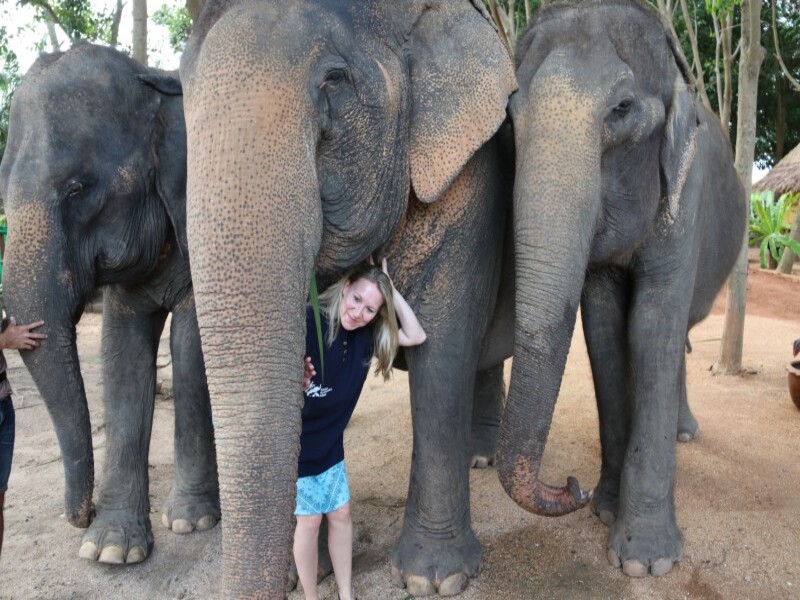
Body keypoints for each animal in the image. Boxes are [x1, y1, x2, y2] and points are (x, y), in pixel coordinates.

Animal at [0, 43, 219, 564]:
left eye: (78, 188)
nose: (78, 514)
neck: (156, 84)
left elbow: (191, 346)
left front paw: (191, 522)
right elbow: (120, 352)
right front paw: (111, 551)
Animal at [179, 0, 517, 595]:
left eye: (334, 81)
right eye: (180, 90)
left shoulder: (471, 183)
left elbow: (443, 352)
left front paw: (434, 578)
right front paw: (302, 572)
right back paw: (481, 457)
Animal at [499, 0, 746, 579]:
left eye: (622, 109)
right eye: (511, 115)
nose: (573, 487)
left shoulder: (687, 196)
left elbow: (652, 326)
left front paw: (644, 560)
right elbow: (605, 329)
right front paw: (607, 509)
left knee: (675, 333)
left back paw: (685, 433)